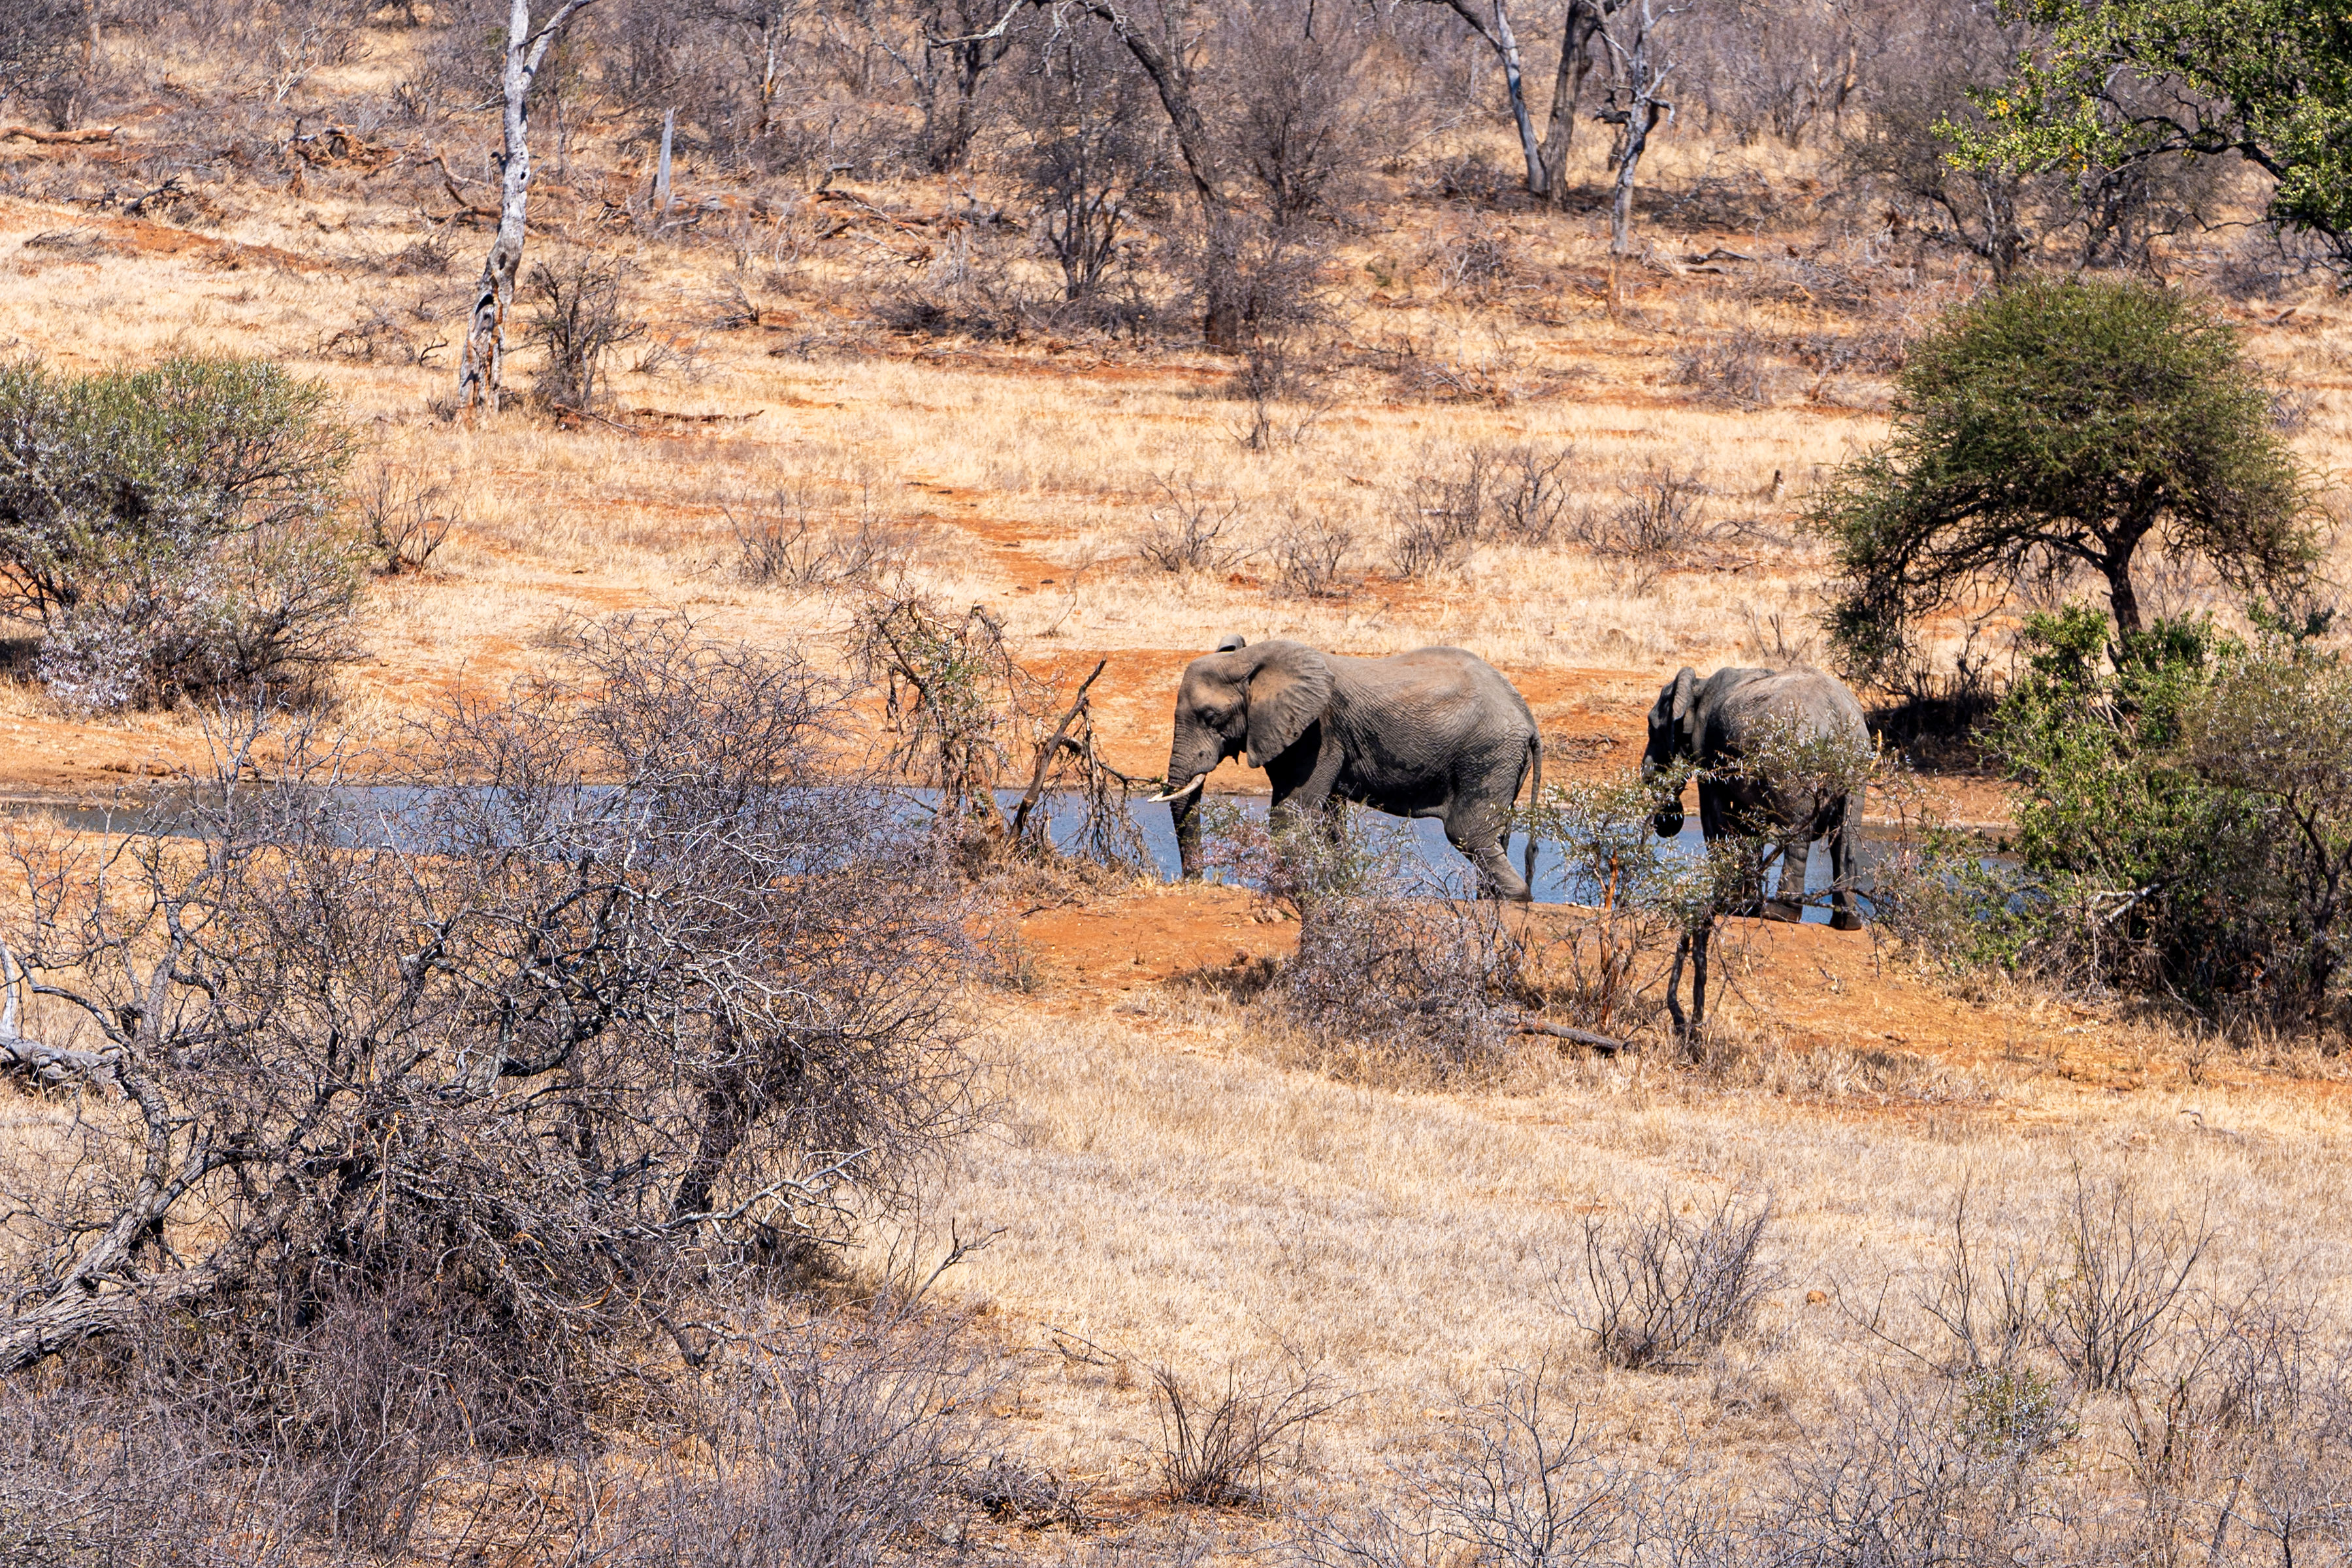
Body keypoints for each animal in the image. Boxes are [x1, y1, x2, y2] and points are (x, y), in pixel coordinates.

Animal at [1153, 637, 1543, 900]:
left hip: (1487, 754)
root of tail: (1528, 720)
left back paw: (1514, 899)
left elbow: (1292, 812)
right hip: (1501, 761)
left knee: (1467, 833)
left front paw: (1285, 890)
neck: (1252, 660)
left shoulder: (1316, 733)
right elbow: (1328, 817)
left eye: (1211, 717)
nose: (1196, 881)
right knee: (1493, 838)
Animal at [1642, 665, 1870, 931]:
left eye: (1651, 729)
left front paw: (1727, 906)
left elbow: (1714, 816)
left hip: (1794, 759)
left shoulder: (1707, 748)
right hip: (1857, 763)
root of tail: (1838, 711)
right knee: (1846, 836)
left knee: (1798, 833)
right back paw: (1847, 921)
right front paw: (1746, 907)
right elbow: (1749, 822)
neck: (1699, 685)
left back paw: (1780, 913)